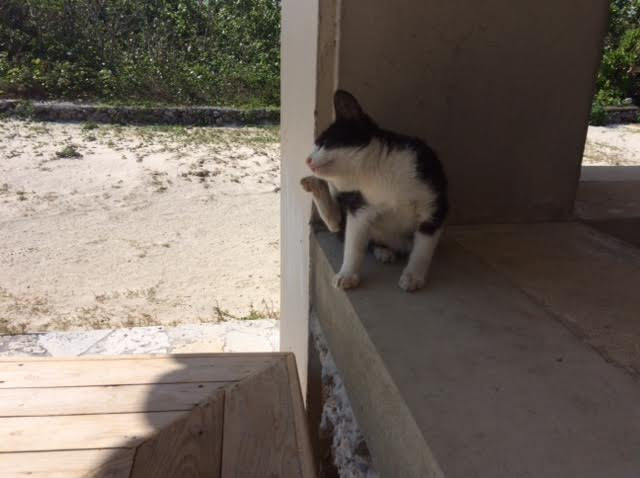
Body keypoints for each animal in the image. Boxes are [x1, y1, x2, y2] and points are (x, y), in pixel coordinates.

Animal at [302, 89, 448, 292]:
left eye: (324, 143)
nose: (307, 159)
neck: (376, 176)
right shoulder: (359, 206)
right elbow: (353, 241)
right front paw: (347, 274)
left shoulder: (433, 204)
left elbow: (424, 248)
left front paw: (413, 275)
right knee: (338, 225)